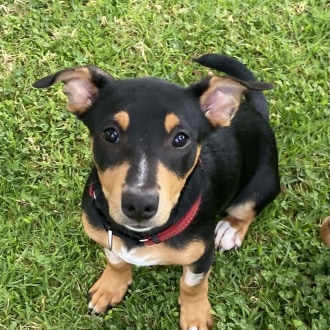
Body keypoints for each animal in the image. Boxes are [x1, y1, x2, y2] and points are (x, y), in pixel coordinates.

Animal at [33, 55, 280, 328]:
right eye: (110, 133)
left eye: (180, 139)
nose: (139, 205)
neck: (138, 237)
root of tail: (257, 114)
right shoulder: (106, 234)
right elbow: (116, 261)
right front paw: (110, 288)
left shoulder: (202, 255)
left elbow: (192, 285)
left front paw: (194, 316)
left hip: (263, 184)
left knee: (245, 211)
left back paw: (230, 229)